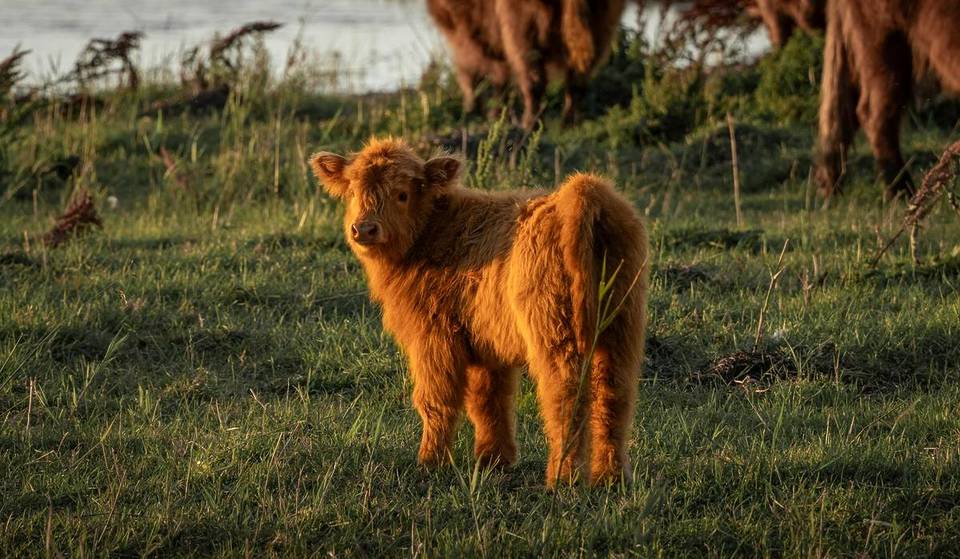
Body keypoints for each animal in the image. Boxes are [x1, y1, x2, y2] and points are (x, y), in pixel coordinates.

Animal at [309, 137, 649, 486]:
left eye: (401, 194)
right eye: (352, 192)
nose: (363, 229)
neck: (431, 233)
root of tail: (583, 192)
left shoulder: (434, 336)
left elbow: (437, 399)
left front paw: (430, 461)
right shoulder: (486, 344)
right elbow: (489, 400)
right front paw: (494, 460)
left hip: (555, 331)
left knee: (566, 395)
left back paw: (562, 478)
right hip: (622, 327)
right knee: (615, 394)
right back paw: (611, 476)